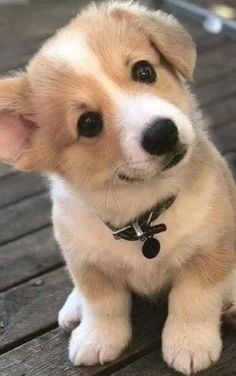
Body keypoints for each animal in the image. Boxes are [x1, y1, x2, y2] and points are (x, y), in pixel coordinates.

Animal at [0, 1, 236, 374]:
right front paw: (96, 339)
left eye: (144, 71)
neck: (142, 214)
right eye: (88, 123)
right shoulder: (86, 261)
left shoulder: (210, 250)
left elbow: (193, 300)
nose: (162, 134)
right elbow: (103, 304)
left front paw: (189, 343)